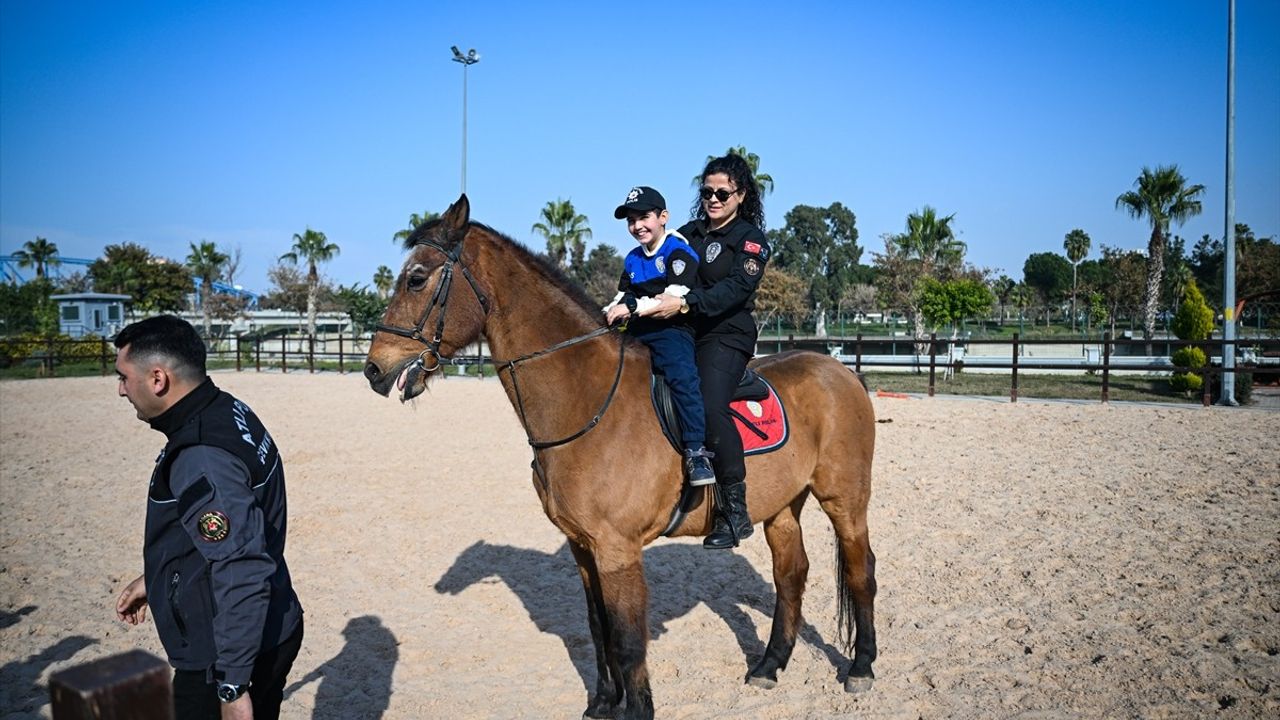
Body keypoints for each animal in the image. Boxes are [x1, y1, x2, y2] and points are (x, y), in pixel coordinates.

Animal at [366, 194, 875, 717]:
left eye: (417, 278)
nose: (374, 368)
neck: (588, 398)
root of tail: (841, 370)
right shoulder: (582, 546)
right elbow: (600, 628)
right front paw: (603, 702)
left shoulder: (617, 549)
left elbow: (629, 639)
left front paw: (637, 708)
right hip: (782, 507)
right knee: (790, 575)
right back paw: (770, 665)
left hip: (845, 500)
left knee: (861, 573)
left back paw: (860, 668)